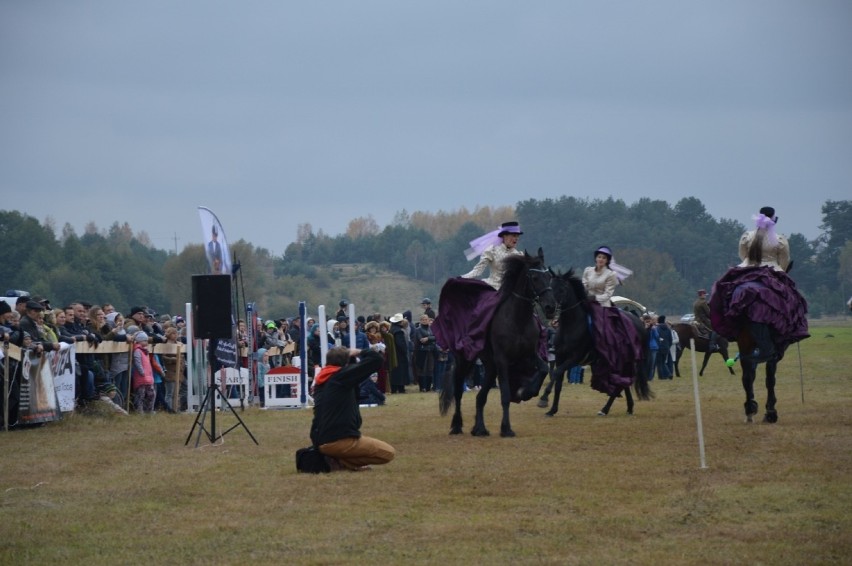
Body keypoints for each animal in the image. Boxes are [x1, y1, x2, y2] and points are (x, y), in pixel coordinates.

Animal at [440, 248, 560, 440]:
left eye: (549, 276)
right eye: (534, 277)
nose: (550, 307)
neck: (518, 319)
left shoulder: (529, 355)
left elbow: (543, 369)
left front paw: (526, 392)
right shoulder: (503, 360)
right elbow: (505, 394)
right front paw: (506, 428)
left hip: (490, 367)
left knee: (480, 397)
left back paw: (479, 428)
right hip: (466, 360)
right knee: (458, 391)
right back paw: (457, 425)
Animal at [536, 268, 648, 420]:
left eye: (562, 289)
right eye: (550, 286)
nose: (549, 308)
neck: (571, 326)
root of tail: (639, 322)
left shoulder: (574, 358)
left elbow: (556, 373)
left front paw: (543, 399)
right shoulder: (560, 358)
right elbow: (557, 382)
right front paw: (552, 410)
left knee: (620, 385)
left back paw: (605, 409)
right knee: (623, 383)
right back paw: (628, 407)